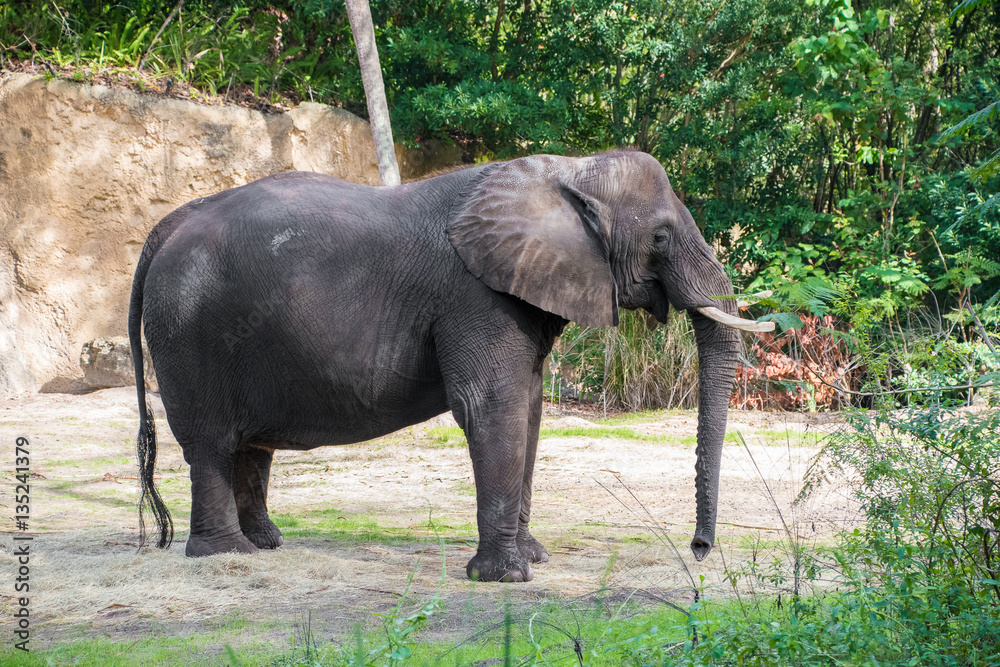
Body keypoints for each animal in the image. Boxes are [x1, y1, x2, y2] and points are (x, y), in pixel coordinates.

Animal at [131, 153, 772, 584]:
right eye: (660, 238)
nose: (699, 549)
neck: (567, 171)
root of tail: (165, 227)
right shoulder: (474, 295)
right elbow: (493, 404)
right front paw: (506, 578)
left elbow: (529, 409)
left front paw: (531, 558)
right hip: (190, 333)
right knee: (212, 443)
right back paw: (226, 554)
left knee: (250, 446)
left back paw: (266, 544)